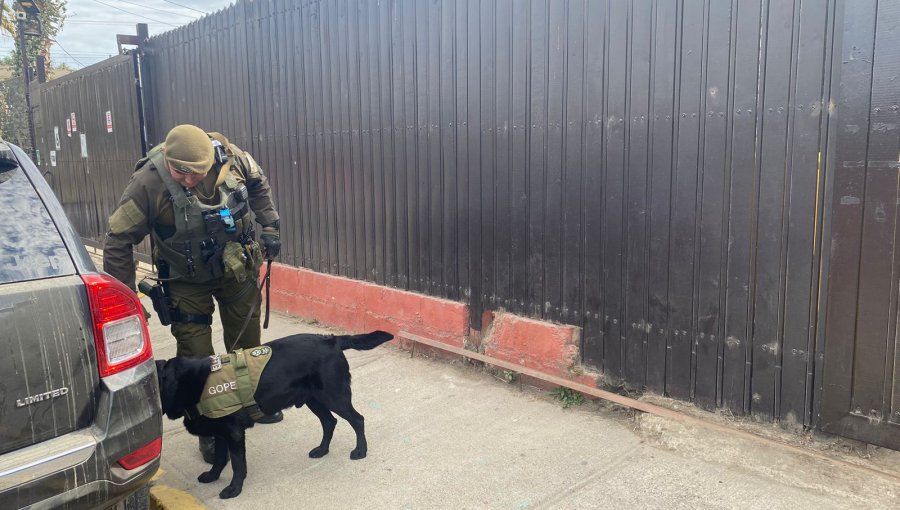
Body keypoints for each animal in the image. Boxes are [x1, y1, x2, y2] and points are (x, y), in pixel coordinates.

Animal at [155, 328, 394, 500]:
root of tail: (331, 340)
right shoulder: (220, 431)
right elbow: (220, 459)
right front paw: (213, 476)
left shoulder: (233, 432)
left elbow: (237, 464)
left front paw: (234, 489)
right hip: (314, 400)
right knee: (329, 422)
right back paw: (322, 450)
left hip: (334, 396)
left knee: (357, 419)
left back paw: (360, 450)